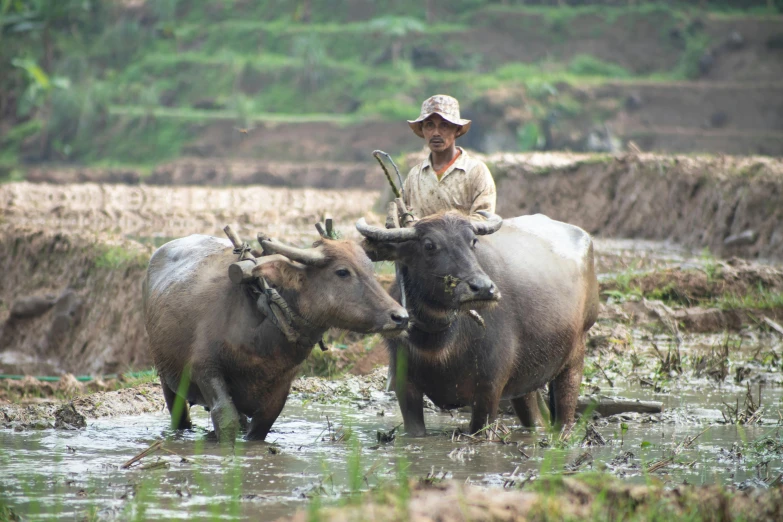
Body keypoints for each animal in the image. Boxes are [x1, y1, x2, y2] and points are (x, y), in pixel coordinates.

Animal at [143, 232, 408, 438]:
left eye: (371, 270)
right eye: (342, 272)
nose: (401, 317)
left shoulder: (279, 391)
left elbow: (259, 425)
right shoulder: (205, 371)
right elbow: (226, 418)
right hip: (167, 377)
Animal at [356, 209, 600, 432]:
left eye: (472, 241)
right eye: (429, 245)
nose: (483, 288)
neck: (438, 342)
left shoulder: (489, 389)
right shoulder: (405, 387)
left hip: (576, 354)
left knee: (565, 409)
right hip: (526, 379)